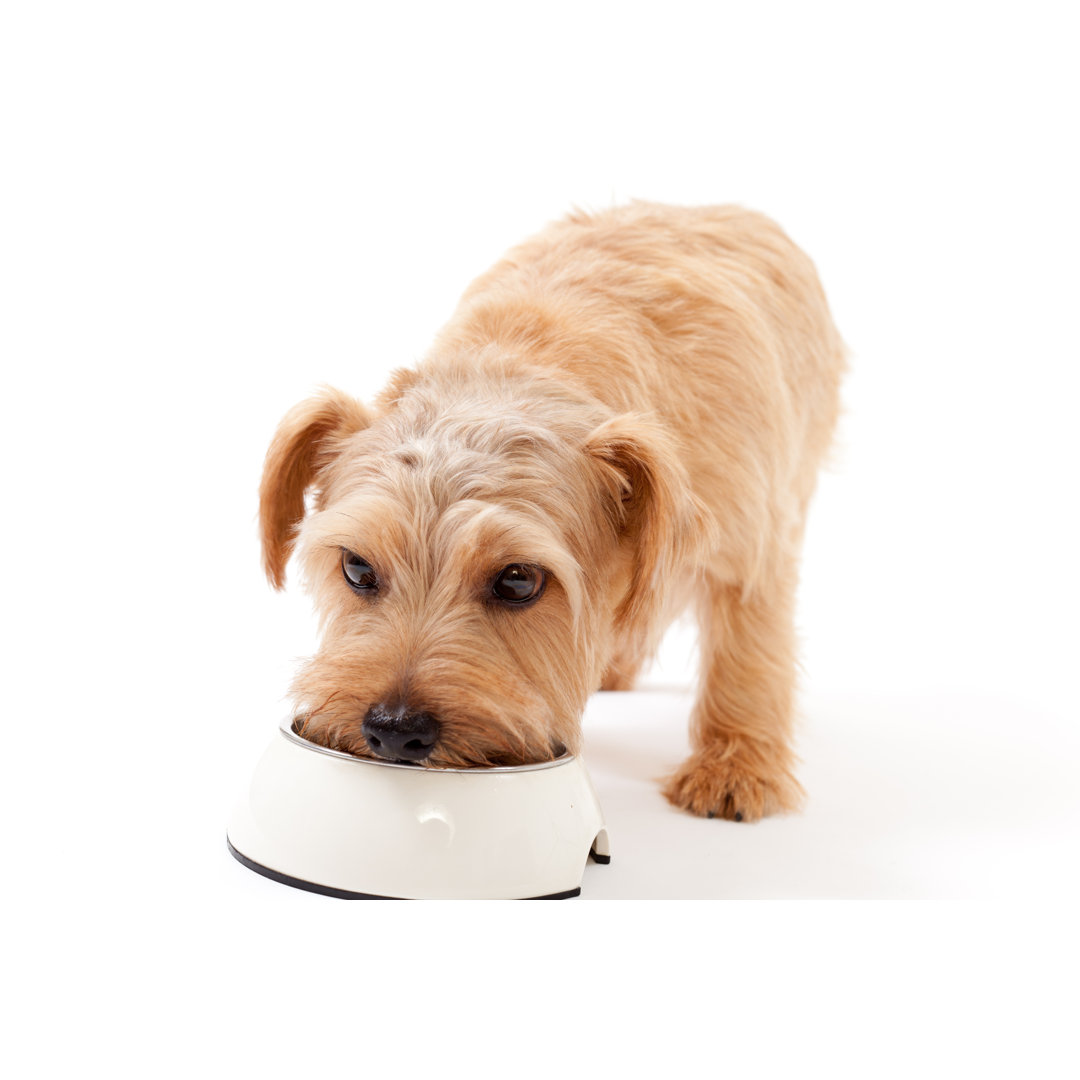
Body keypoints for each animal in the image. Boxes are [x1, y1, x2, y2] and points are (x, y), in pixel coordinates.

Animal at [259, 203, 842, 820]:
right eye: (356, 568)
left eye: (518, 582)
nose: (394, 729)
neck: (521, 368)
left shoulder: (750, 548)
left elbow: (747, 652)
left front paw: (735, 766)